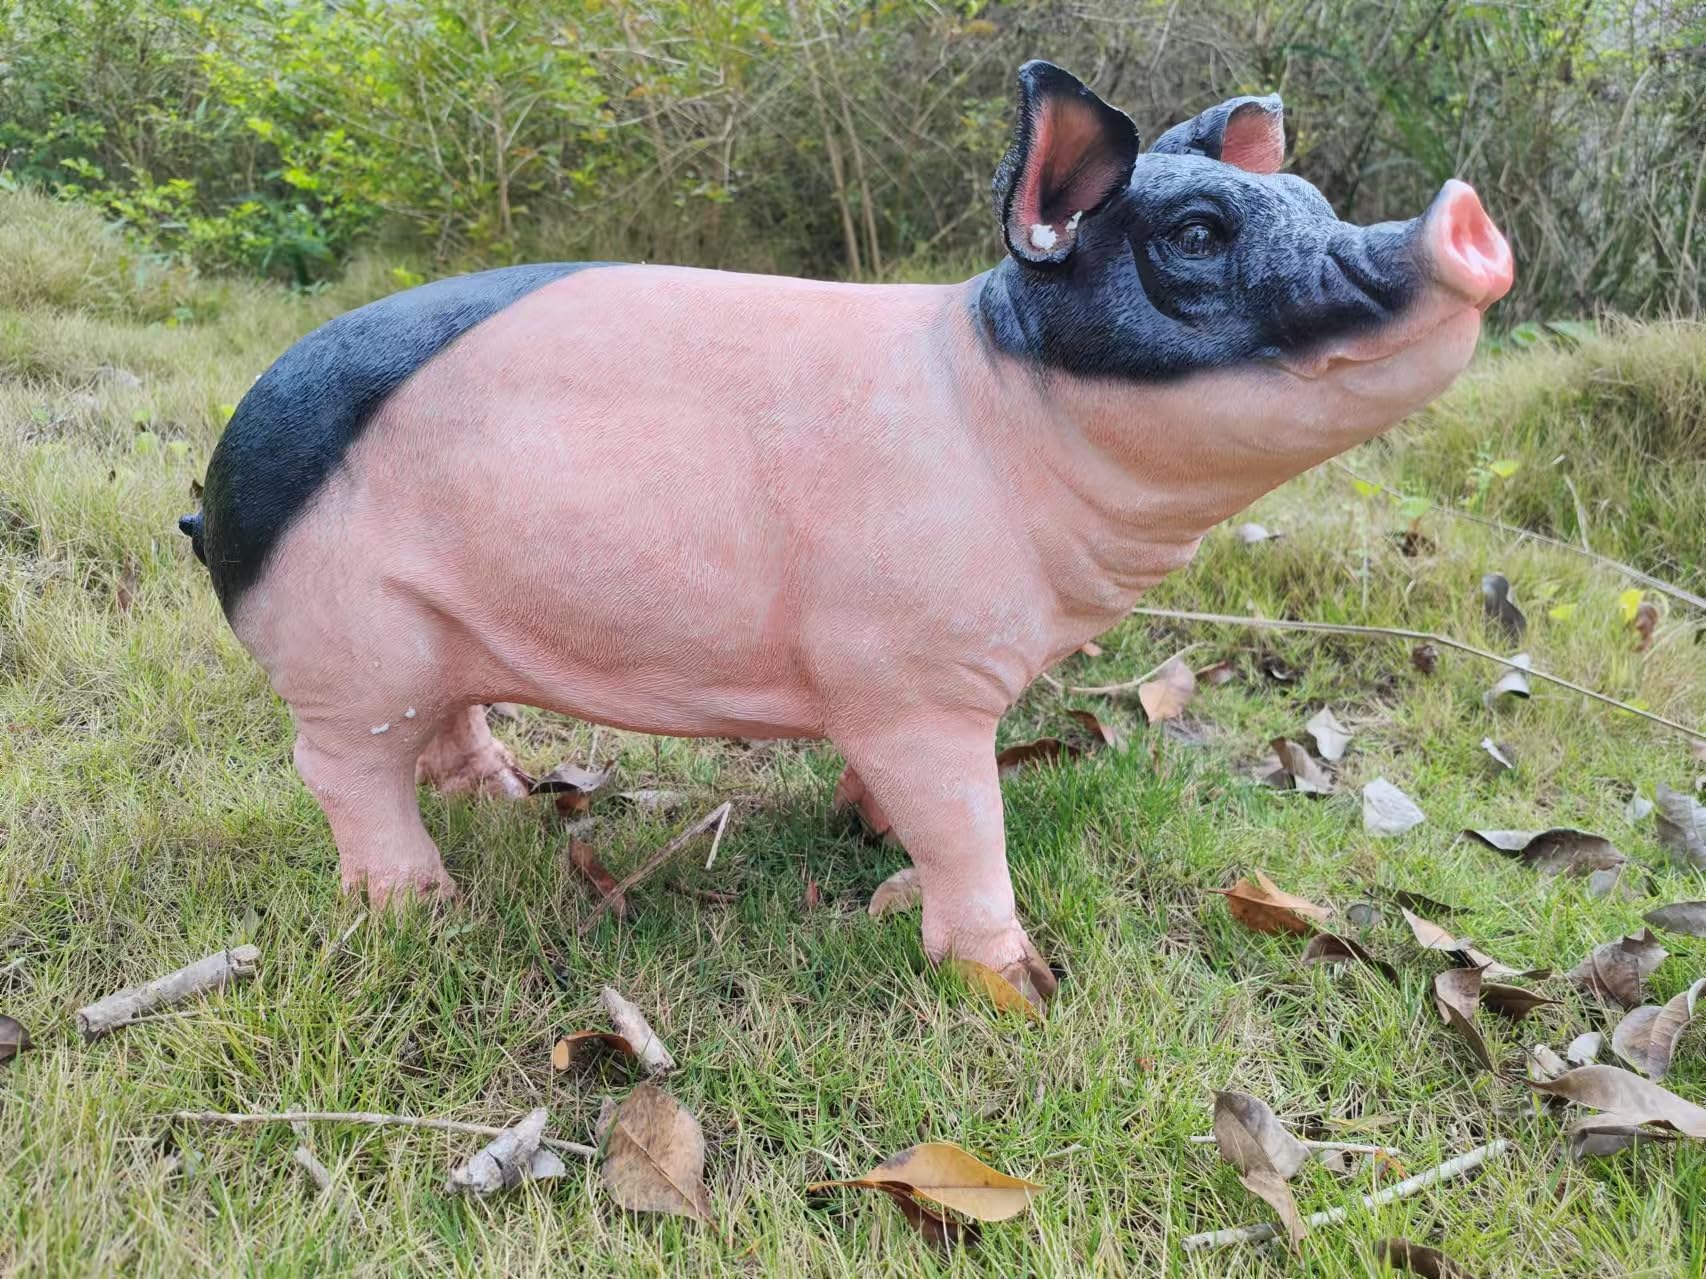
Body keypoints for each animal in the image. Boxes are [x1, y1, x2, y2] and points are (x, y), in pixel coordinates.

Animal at [181, 61, 1511, 1001]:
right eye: (1192, 235)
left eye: (1312, 202)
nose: (1464, 217)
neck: (1000, 421)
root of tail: (216, 482)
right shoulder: (908, 673)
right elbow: (965, 824)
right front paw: (1014, 984)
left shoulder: (887, 683)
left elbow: (898, 802)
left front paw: (862, 833)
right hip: (346, 644)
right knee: (339, 769)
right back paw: (421, 907)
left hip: (429, 633)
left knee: (445, 727)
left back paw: (512, 802)